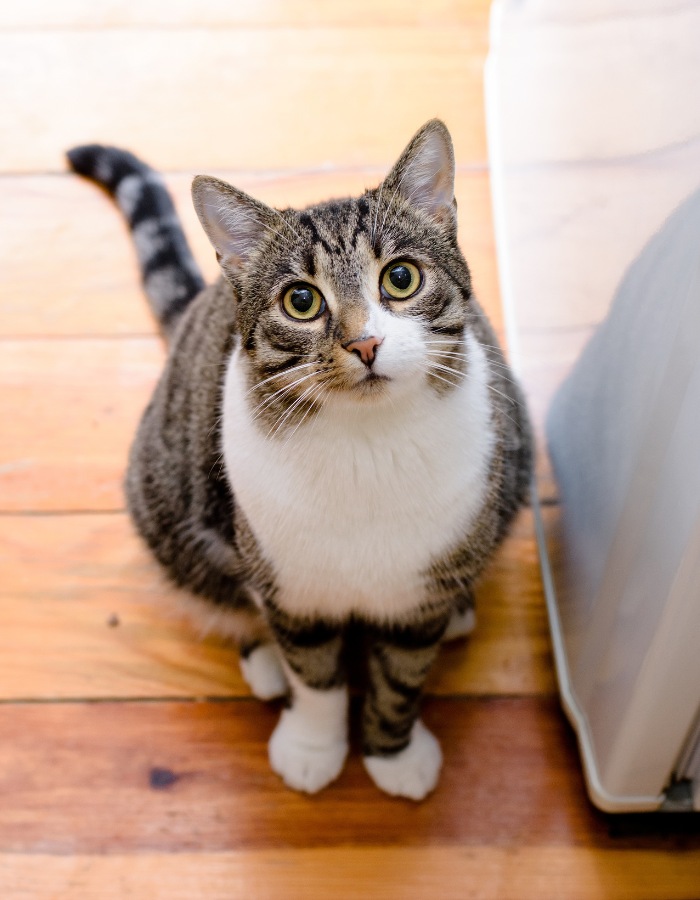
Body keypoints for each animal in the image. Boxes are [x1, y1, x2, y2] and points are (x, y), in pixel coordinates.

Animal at [68, 121, 532, 800]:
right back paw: (263, 661)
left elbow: (401, 677)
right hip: (167, 502)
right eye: (302, 301)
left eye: (400, 278)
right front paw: (314, 746)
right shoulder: (291, 586)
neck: (367, 444)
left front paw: (393, 754)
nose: (365, 343)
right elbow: (314, 675)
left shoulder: (420, 590)